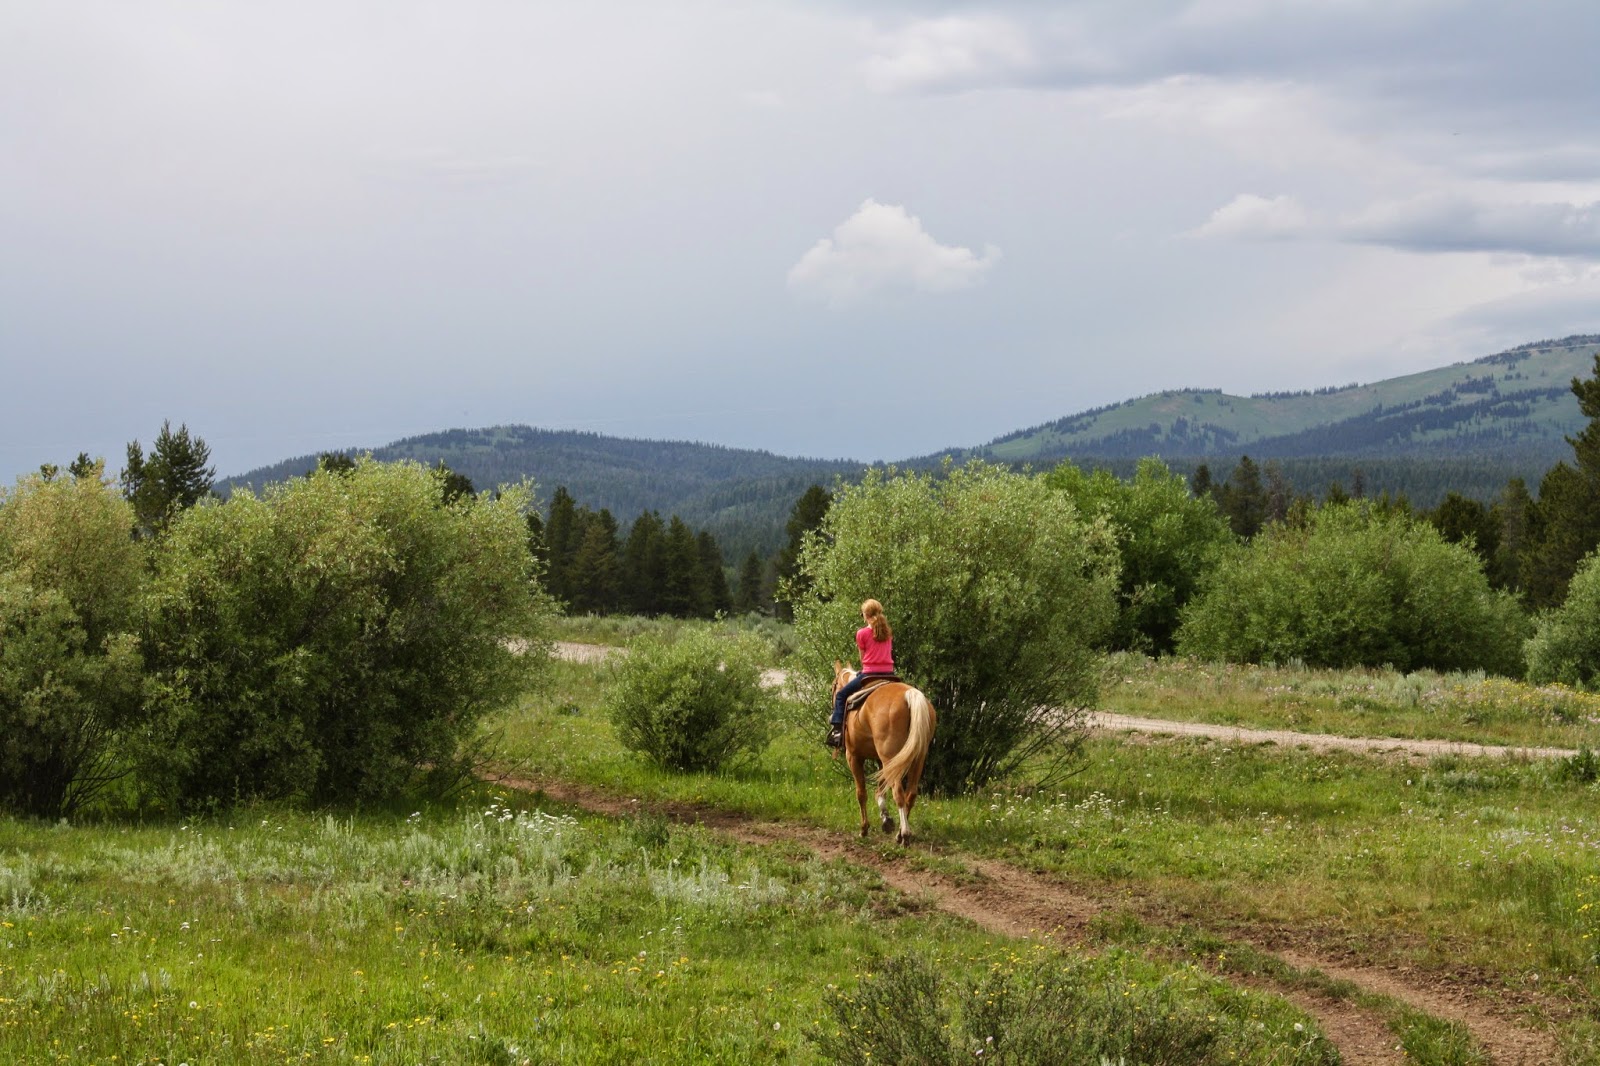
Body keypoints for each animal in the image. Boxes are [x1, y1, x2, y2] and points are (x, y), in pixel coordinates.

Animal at [830, 661, 936, 845]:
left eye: (833, 687)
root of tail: (910, 695)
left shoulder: (854, 756)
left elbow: (862, 793)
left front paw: (864, 829)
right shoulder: (881, 761)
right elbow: (880, 791)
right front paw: (886, 820)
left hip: (890, 758)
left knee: (898, 793)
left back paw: (904, 835)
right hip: (915, 758)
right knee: (910, 794)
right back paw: (900, 833)